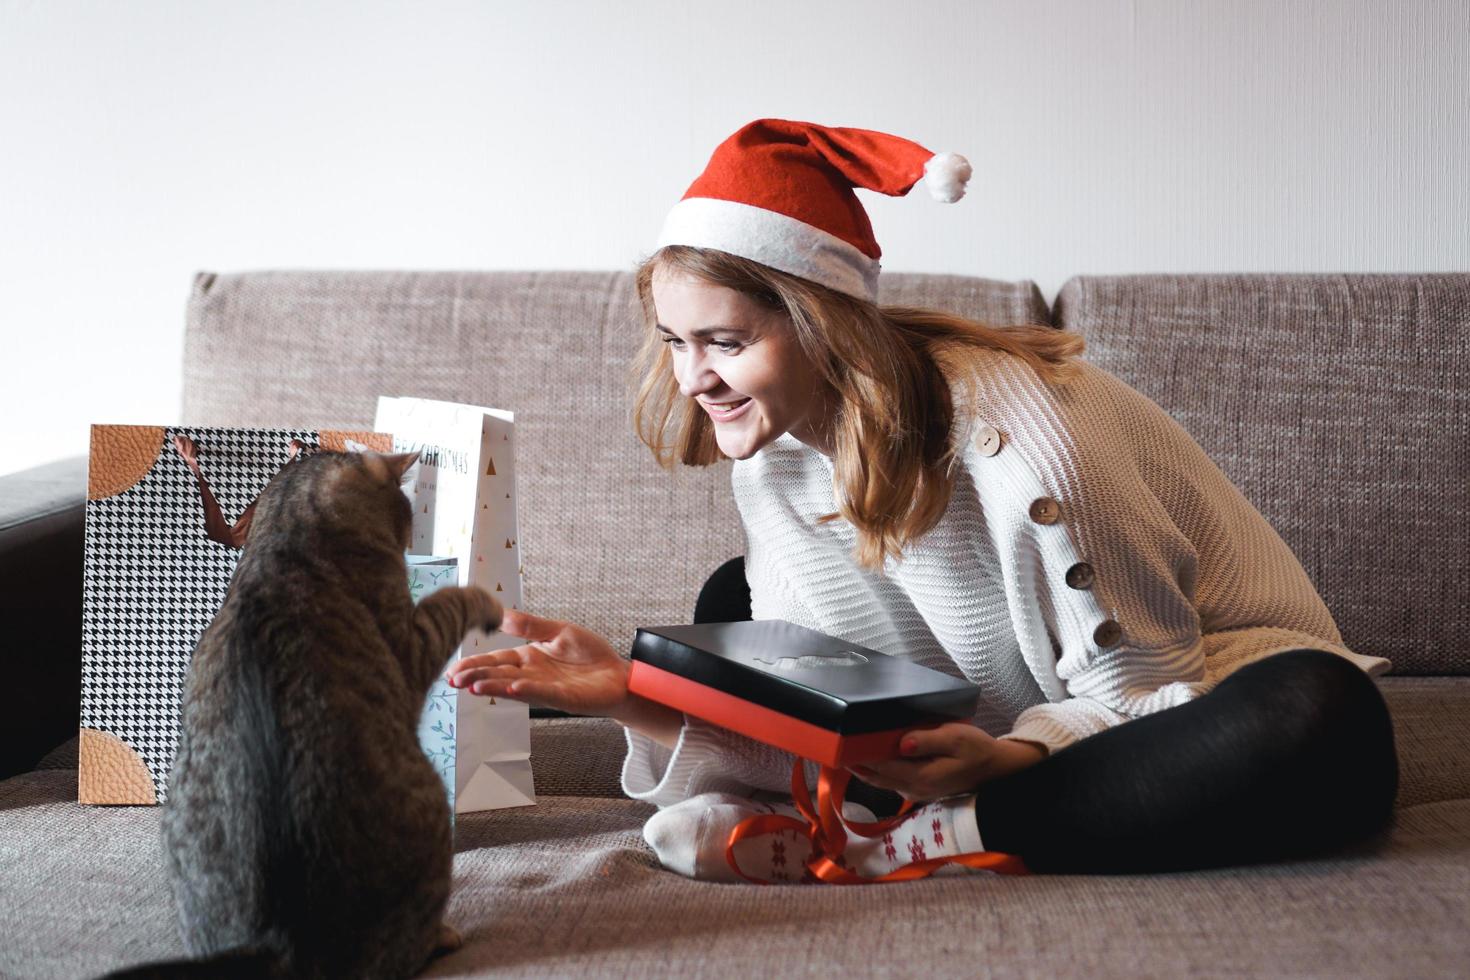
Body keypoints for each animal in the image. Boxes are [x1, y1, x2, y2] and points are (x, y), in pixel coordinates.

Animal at [106, 449, 502, 980]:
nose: (412, 537)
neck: (287, 542)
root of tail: (280, 937)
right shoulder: (413, 644)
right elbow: (452, 601)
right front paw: (488, 604)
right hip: (433, 811)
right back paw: (442, 935)